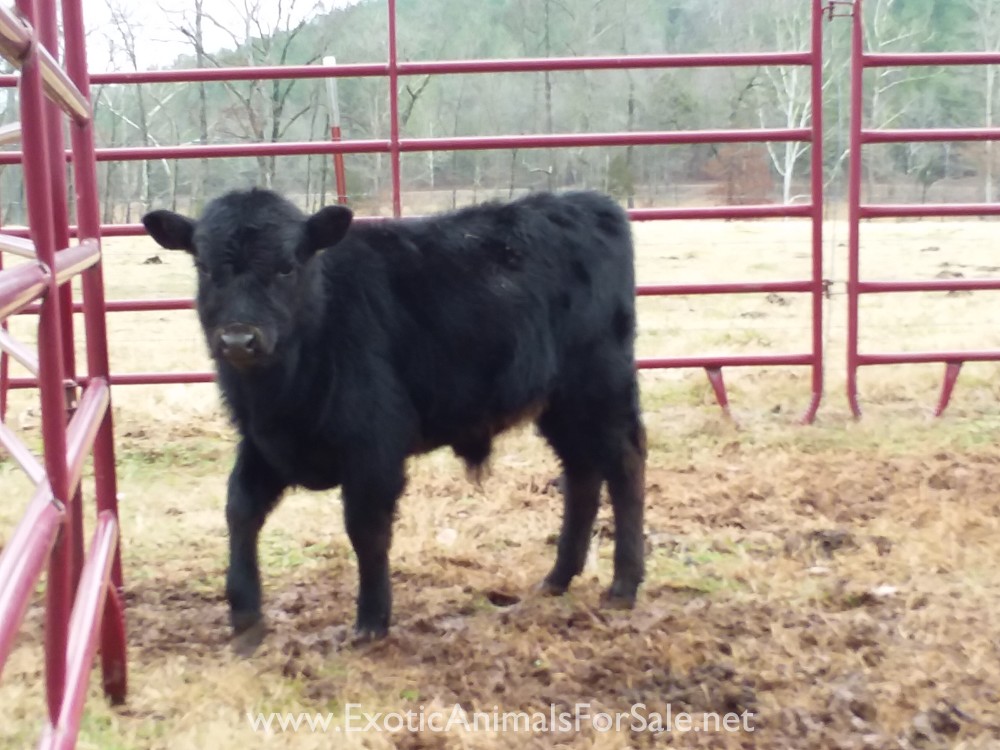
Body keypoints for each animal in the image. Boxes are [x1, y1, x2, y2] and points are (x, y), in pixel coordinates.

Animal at [141, 188, 646, 646]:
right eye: (205, 268)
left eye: (286, 266)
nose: (239, 340)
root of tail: (586, 202)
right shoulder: (263, 441)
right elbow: (240, 509)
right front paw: (246, 617)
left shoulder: (373, 445)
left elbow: (366, 529)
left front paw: (371, 621)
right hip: (560, 405)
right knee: (581, 474)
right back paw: (558, 578)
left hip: (598, 387)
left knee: (624, 465)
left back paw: (624, 584)